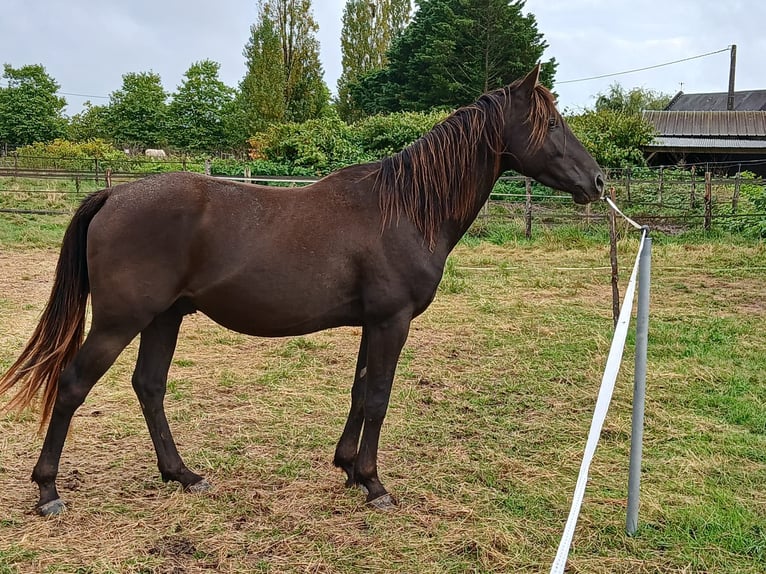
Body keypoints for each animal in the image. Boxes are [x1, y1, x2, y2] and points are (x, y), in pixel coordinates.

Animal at [0, 65, 604, 516]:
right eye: (552, 123)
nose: (597, 182)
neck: (406, 209)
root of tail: (113, 196)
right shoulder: (392, 320)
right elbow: (379, 397)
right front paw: (375, 484)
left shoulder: (374, 322)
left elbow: (360, 393)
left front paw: (348, 470)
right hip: (120, 321)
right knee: (73, 385)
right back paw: (48, 490)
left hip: (165, 317)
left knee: (149, 386)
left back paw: (183, 475)